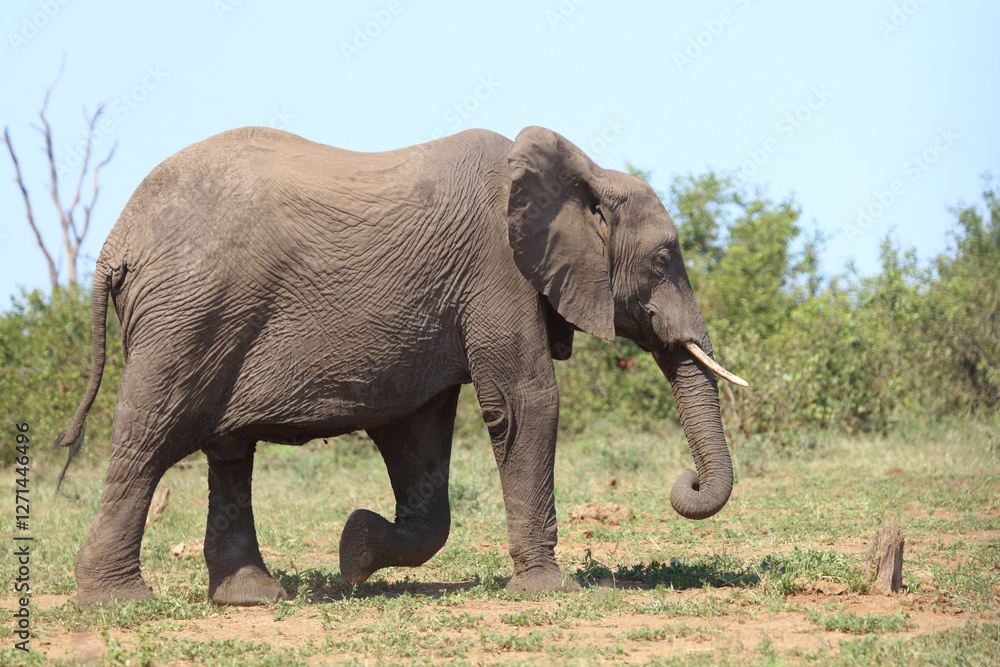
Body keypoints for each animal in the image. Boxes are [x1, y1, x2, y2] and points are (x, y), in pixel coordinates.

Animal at [56, 125, 747, 606]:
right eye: (663, 261)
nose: (684, 482)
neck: (584, 173)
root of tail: (116, 242)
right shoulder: (497, 273)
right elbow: (525, 404)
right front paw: (550, 593)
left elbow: (419, 437)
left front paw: (354, 554)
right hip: (187, 316)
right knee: (149, 441)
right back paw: (118, 602)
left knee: (229, 453)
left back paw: (254, 598)